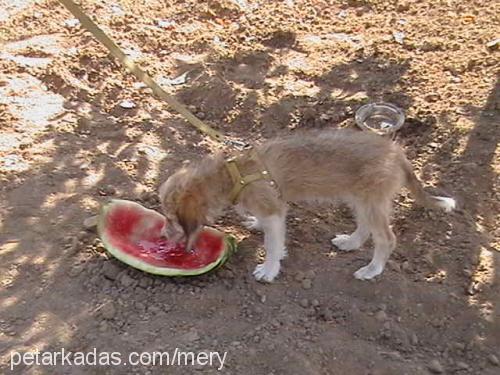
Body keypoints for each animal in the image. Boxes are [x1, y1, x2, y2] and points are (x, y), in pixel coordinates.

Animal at [158, 129, 456, 282]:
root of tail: (398, 154)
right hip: (360, 199)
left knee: (386, 239)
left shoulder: (274, 211)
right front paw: (256, 225)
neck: (233, 173)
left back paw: (371, 270)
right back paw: (350, 242)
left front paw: (269, 269)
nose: (161, 236)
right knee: (365, 228)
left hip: (371, 201)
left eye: (171, 218)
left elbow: (272, 245)